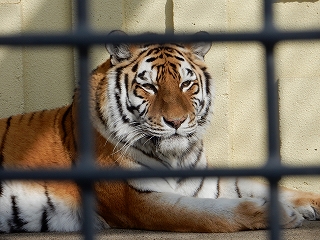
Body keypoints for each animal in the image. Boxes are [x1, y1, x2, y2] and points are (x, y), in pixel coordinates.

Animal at [0, 29, 320, 233]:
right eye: (149, 86)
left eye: (186, 84)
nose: (176, 122)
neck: (177, 156)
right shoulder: (139, 200)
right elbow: (213, 214)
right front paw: (281, 214)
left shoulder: (207, 181)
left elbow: (266, 186)